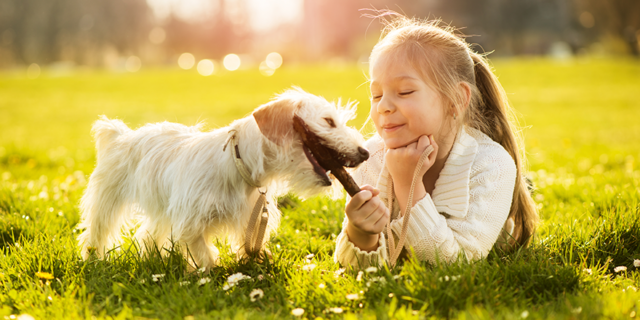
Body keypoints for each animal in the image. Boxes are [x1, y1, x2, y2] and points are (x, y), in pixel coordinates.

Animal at [75, 87, 368, 270]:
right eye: (328, 121)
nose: (365, 152)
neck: (238, 165)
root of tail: (121, 135)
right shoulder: (190, 221)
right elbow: (203, 253)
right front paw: (209, 273)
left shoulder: (249, 219)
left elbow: (249, 248)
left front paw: (256, 265)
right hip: (107, 202)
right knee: (96, 233)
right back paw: (93, 260)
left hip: (162, 209)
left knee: (147, 234)